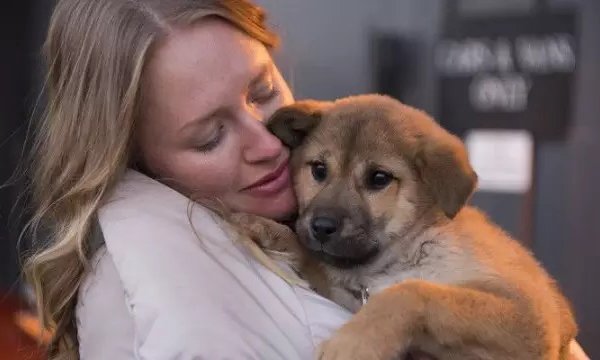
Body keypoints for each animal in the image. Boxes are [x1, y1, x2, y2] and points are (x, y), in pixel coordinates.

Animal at [231, 95, 576, 360]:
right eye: (318, 169)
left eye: (379, 178)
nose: (322, 227)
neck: (404, 254)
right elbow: (319, 268)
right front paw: (273, 232)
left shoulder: (531, 314)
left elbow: (411, 292)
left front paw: (353, 343)